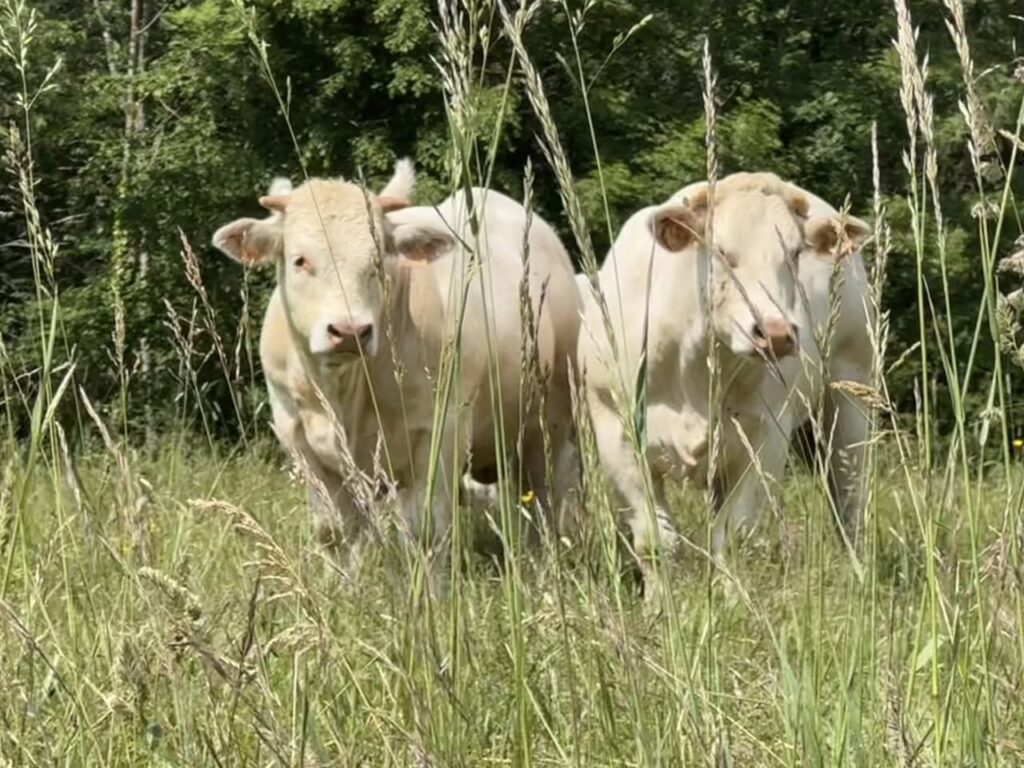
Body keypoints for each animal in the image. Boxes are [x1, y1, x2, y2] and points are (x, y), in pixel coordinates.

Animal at [213, 161, 581, 583]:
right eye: (300, 260)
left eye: (378, 260)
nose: (349, 331)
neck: (344, 392)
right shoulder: (297, 437)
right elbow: (333, 530)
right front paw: (342, 587)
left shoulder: (443, 431)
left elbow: (426, 531)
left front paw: (431, 594)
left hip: (548, 424)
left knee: (544, 504)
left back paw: (543, 571)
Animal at [577, 171, 873, 589]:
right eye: (719, 251)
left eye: (795, 253)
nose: (776, 333)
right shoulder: (616, 435)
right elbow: (655, 543)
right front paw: (659, 602)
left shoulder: (766, 439)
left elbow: (733, 538)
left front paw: (735, 600)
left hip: (850, 392)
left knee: (849, 498)